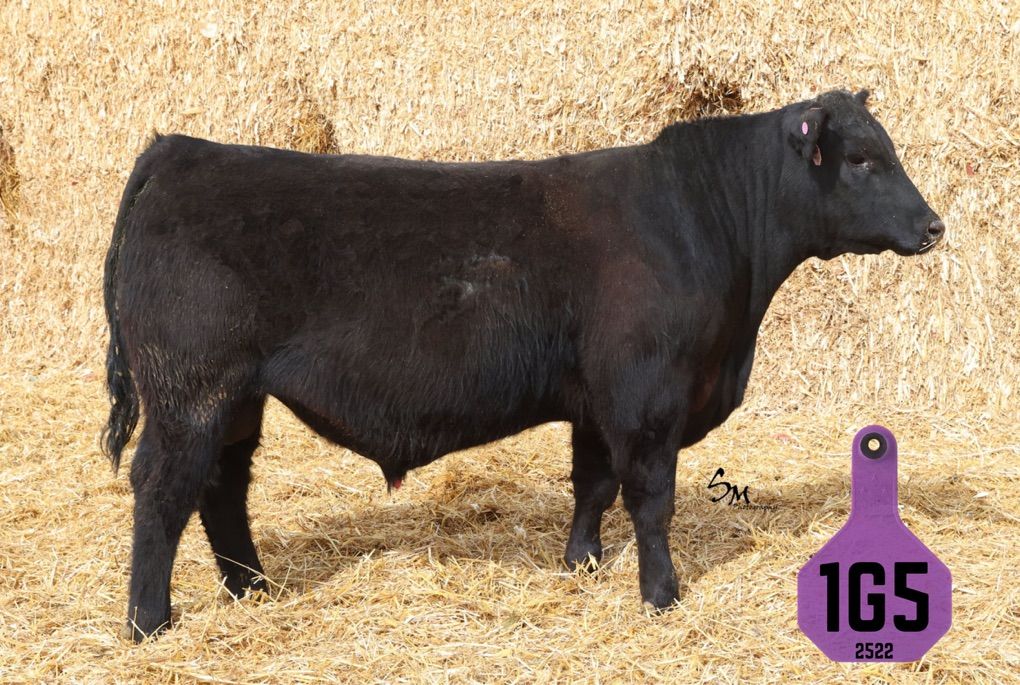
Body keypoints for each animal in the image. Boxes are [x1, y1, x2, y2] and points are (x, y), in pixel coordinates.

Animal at [102, 89, 943, 641]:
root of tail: (180, 150)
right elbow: (651, 500)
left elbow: (591, 485)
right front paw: (661, 596)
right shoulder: (647, 398)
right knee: (164, 489)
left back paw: (252, 590)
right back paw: (150, 620)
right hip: (189, 390)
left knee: (222, 486)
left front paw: (581, 567)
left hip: (236, 397)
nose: (935, 225)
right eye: (863, 159)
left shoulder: (597, 403)